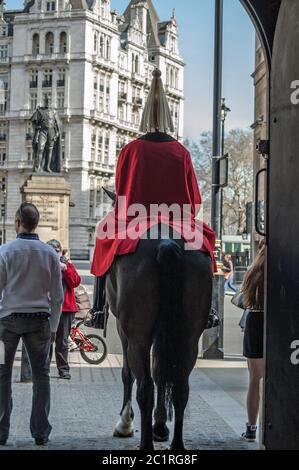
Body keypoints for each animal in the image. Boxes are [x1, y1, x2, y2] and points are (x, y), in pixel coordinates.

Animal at [105, 224, 213, 452]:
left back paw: (145, 444)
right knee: (180, 387)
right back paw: (177, 445)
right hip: (188, 339)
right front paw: (160, 426)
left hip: (138, 337)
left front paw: (125, 422)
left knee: (144, 386)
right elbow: (161, 372)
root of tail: (166, 242)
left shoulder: (123, 330)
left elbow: (128, 374)